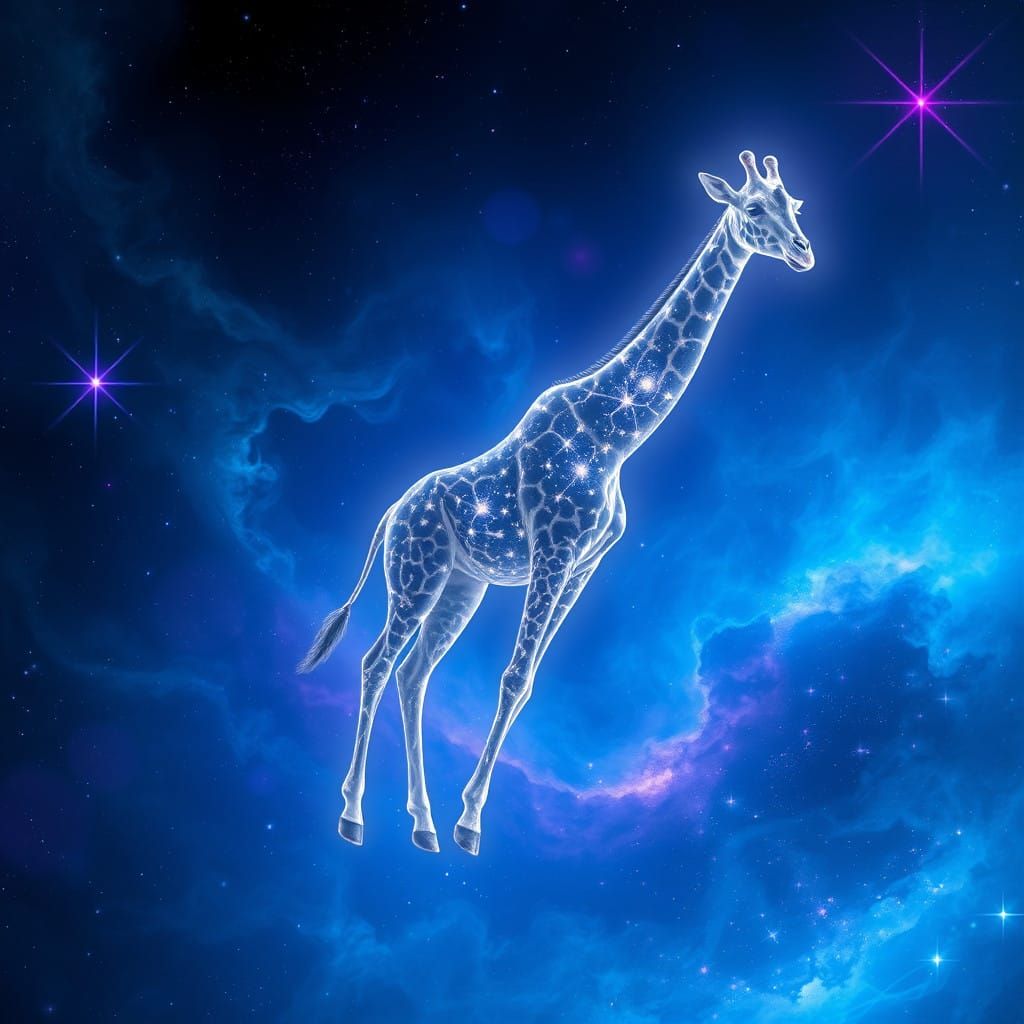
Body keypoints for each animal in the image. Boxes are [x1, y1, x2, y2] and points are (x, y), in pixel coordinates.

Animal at [298, 150, 814, 856]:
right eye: (754, 207)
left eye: (797, 203)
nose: (804, 251)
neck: (614, 435)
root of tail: (389, 514)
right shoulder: (554, 547)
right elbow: (514, 676)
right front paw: (470, 825)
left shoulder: (586, 562)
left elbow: (528, 685)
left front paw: (461, 817)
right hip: (416, 575)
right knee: (377, 663)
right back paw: (353, 816)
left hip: (462, 585)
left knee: (414, 674)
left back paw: (422, 825)